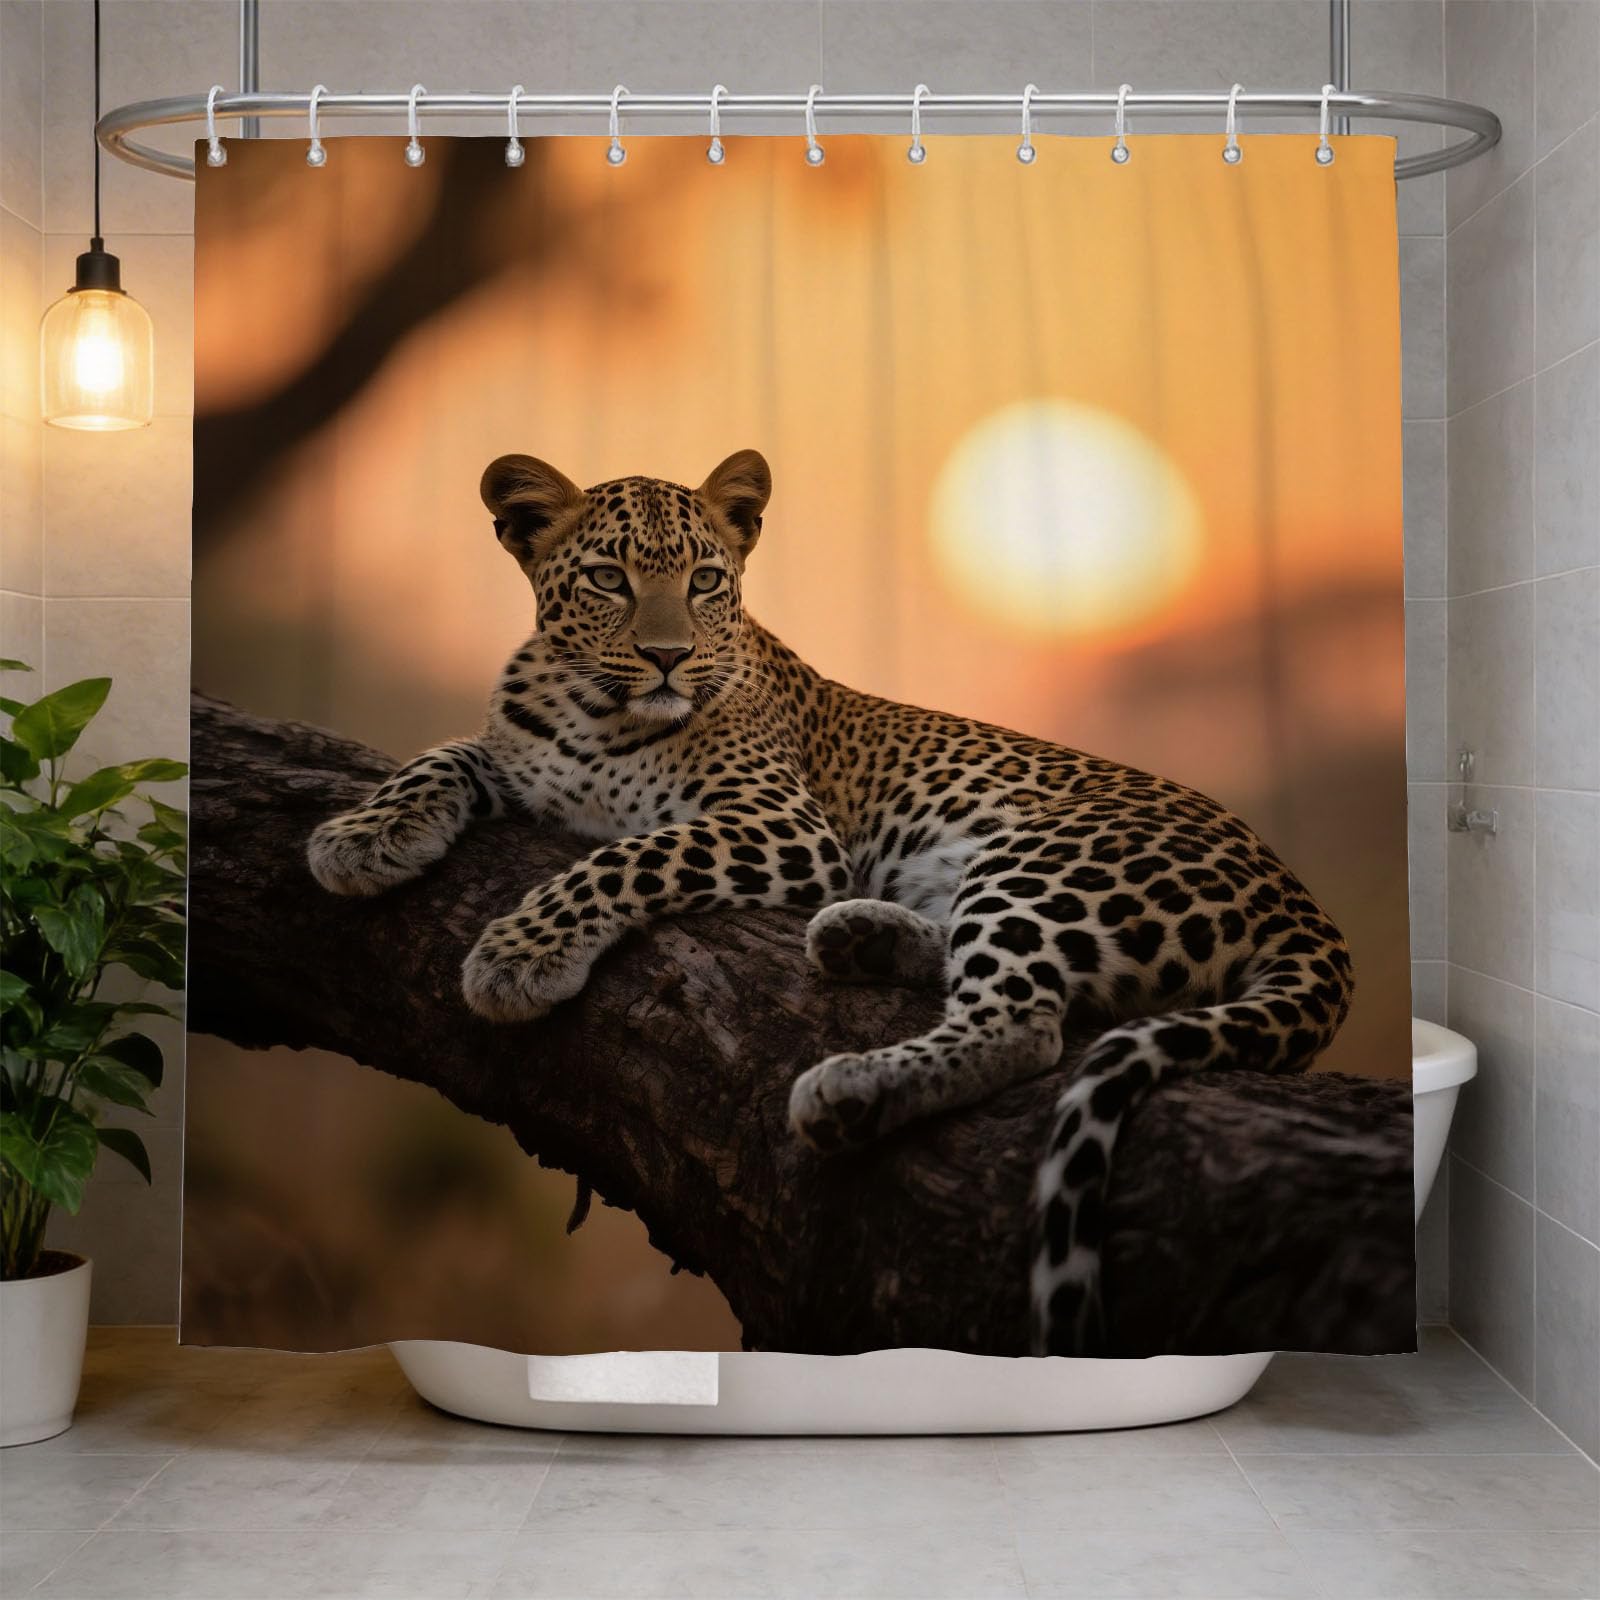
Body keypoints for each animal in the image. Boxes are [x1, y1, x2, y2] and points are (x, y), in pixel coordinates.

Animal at [306, 447, 1355, 1355]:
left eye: (706, 581)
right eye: (607, 578)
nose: (665, 657)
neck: (590, 712)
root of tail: (1306, 907)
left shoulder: (779, 823)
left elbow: (629, 856)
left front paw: (520, 952)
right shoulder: (530, 766)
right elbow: (447, 754)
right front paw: (363, 835)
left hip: (1046, 854)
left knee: (1026, 1023)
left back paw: (853, 1085)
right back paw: (861, 937)